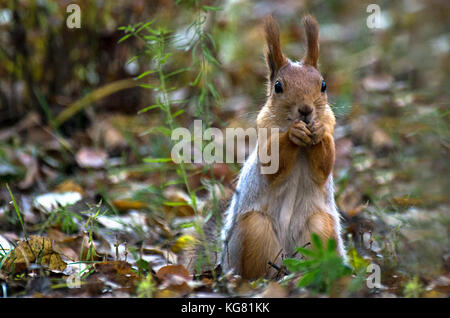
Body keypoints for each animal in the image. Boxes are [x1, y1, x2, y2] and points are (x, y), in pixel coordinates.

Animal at [221, 14, 344, 278]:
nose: (306, 110)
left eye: (323, 85)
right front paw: (292, 134)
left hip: (320, 228)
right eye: (278, 87)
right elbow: (272, 164)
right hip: (255, 230)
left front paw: (318, 131)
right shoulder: (265, 132)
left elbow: (324, 166)